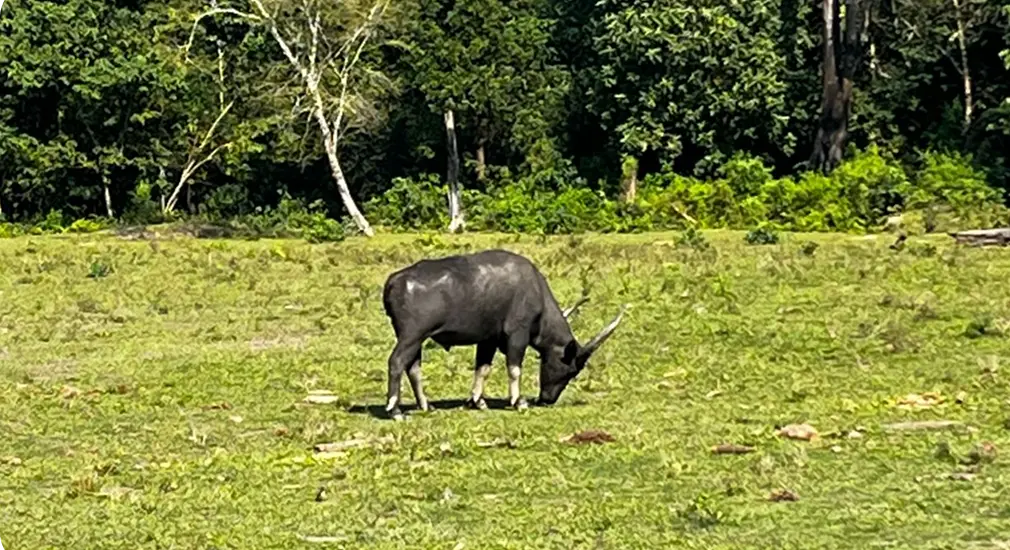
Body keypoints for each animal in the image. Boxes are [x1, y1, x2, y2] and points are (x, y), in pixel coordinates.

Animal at [381, 248, 625, 421]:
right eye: (571, 370)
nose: (547, 400)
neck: (535, 290)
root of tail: (395, 281)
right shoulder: (517, 335)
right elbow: (514, 369)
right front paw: (518, 401)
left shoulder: (487, 341)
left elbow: (483, 369)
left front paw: (476, 401)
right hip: (412, 336)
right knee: (397, 362)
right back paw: (395, 410)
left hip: (416, 339)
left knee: (413, 367)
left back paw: (426, 405)